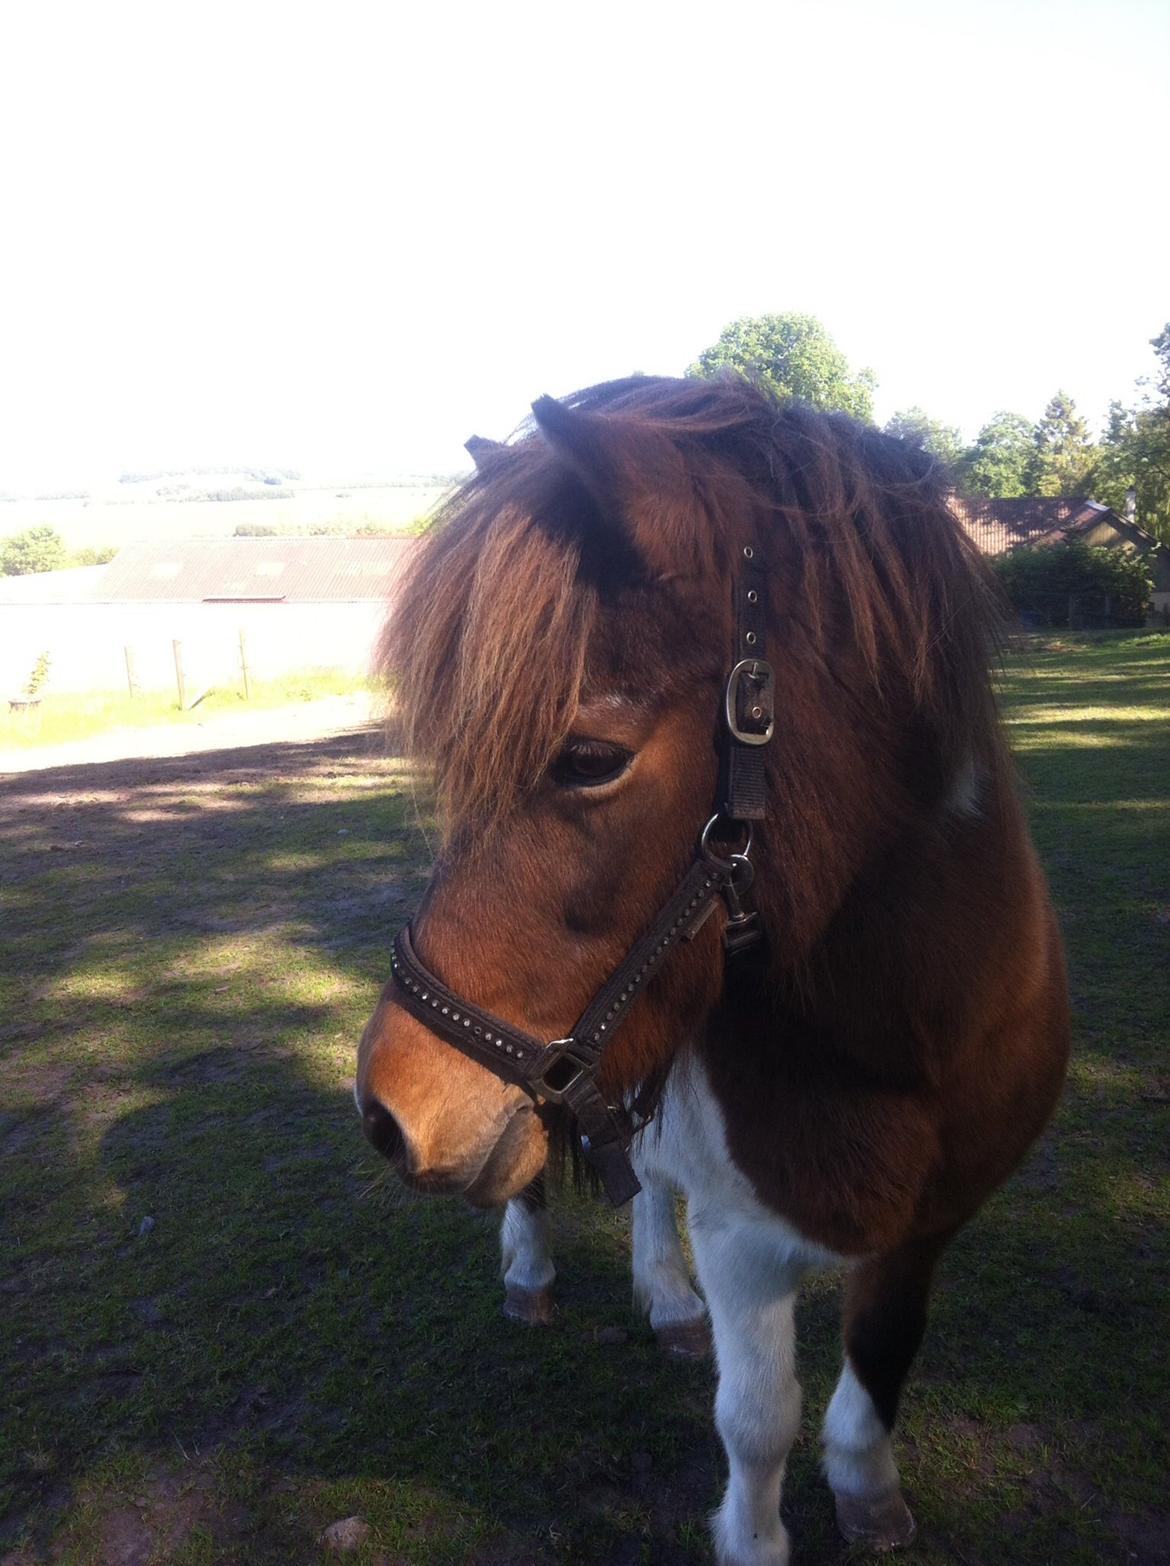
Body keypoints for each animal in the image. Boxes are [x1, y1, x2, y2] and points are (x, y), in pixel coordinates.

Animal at [357, 372, 1071, 1559]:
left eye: (589, 759)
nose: (384, 1111)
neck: (902, 1047)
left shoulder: (929, 1228)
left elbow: (882, 1363)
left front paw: (868, 1492)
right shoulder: (744, 1242)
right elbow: (760, 1418)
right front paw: (753, 1535)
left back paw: (667, 1299)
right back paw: (533, 1273)